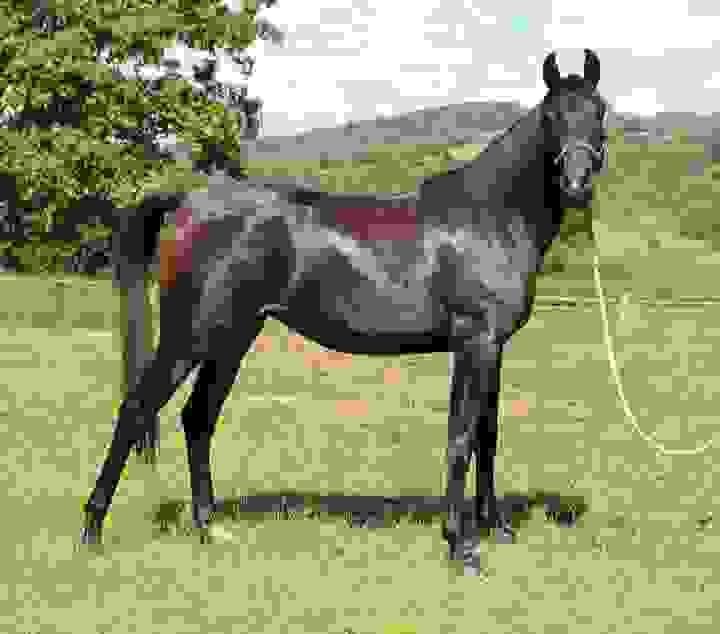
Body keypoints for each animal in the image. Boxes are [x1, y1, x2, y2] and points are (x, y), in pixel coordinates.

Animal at [81, 50, 609, 575]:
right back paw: (92, 530)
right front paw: (462, 548)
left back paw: (209, 529)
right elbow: (461, 437)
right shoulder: (474, 343)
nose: (577, 185)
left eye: (599, 111)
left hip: (232, 338)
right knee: (136, 410)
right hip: (188, 336)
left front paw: (495, 529)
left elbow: (487, 434)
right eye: (553, 115)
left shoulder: (493, 349)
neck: (492, 218)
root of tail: (186, 201)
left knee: (197, 419)